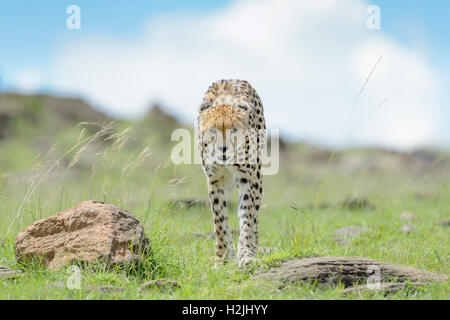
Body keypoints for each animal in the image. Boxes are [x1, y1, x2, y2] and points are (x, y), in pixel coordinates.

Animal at [196, 80, 264, 268]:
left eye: (234, 130)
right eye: (213, 130)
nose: (223, 149)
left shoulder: (247, 179)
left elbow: (247, 218)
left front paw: (246, 254)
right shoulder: (214, 181)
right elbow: (220, 221)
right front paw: (222, 257)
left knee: (255, 217)